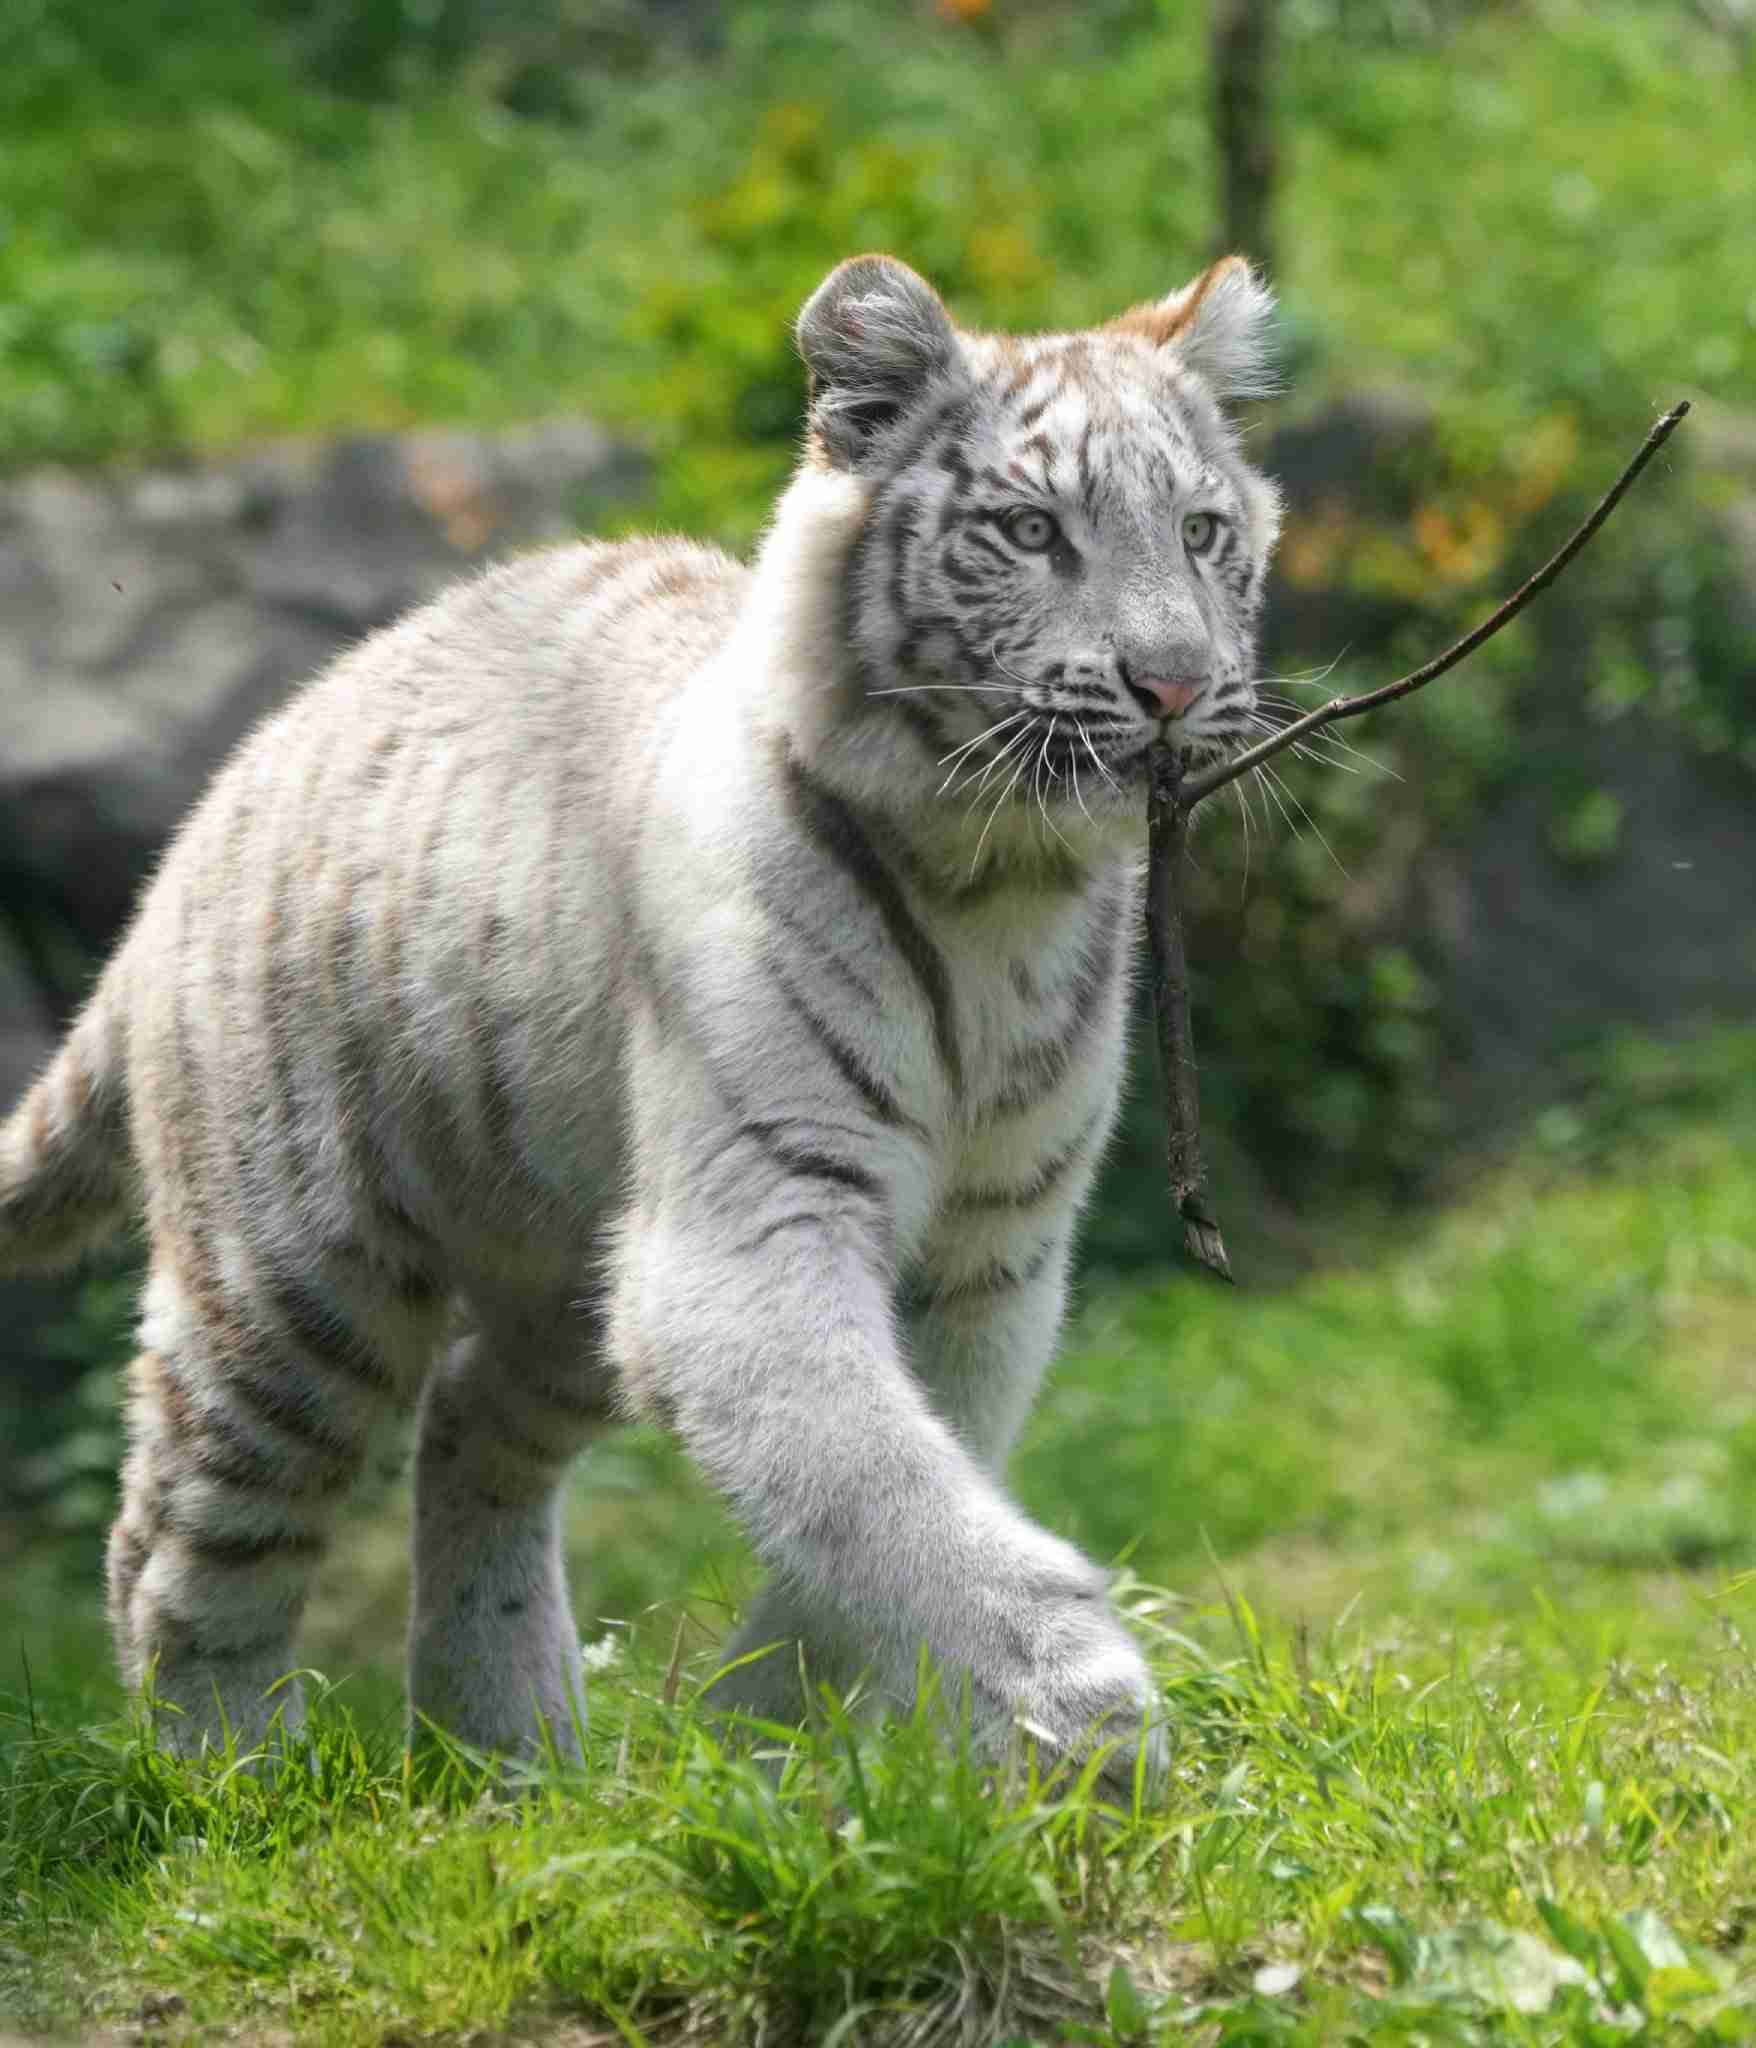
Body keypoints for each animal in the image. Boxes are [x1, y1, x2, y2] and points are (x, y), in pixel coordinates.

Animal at [0, 252, 1282, 1783]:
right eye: (1031, 532)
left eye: (1202, 533)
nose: (1175, 684)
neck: (1002, 884)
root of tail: (210, 814)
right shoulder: (750, 1228)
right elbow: (877, 1477)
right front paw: (1085, 1707)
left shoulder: (992, 1255)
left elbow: (894, 1479)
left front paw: (767, 1733)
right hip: (294, 1282)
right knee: (180, 1533)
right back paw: (227, 1783)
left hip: (566, 1271)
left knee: (469, 1420)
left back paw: (509, 1747)